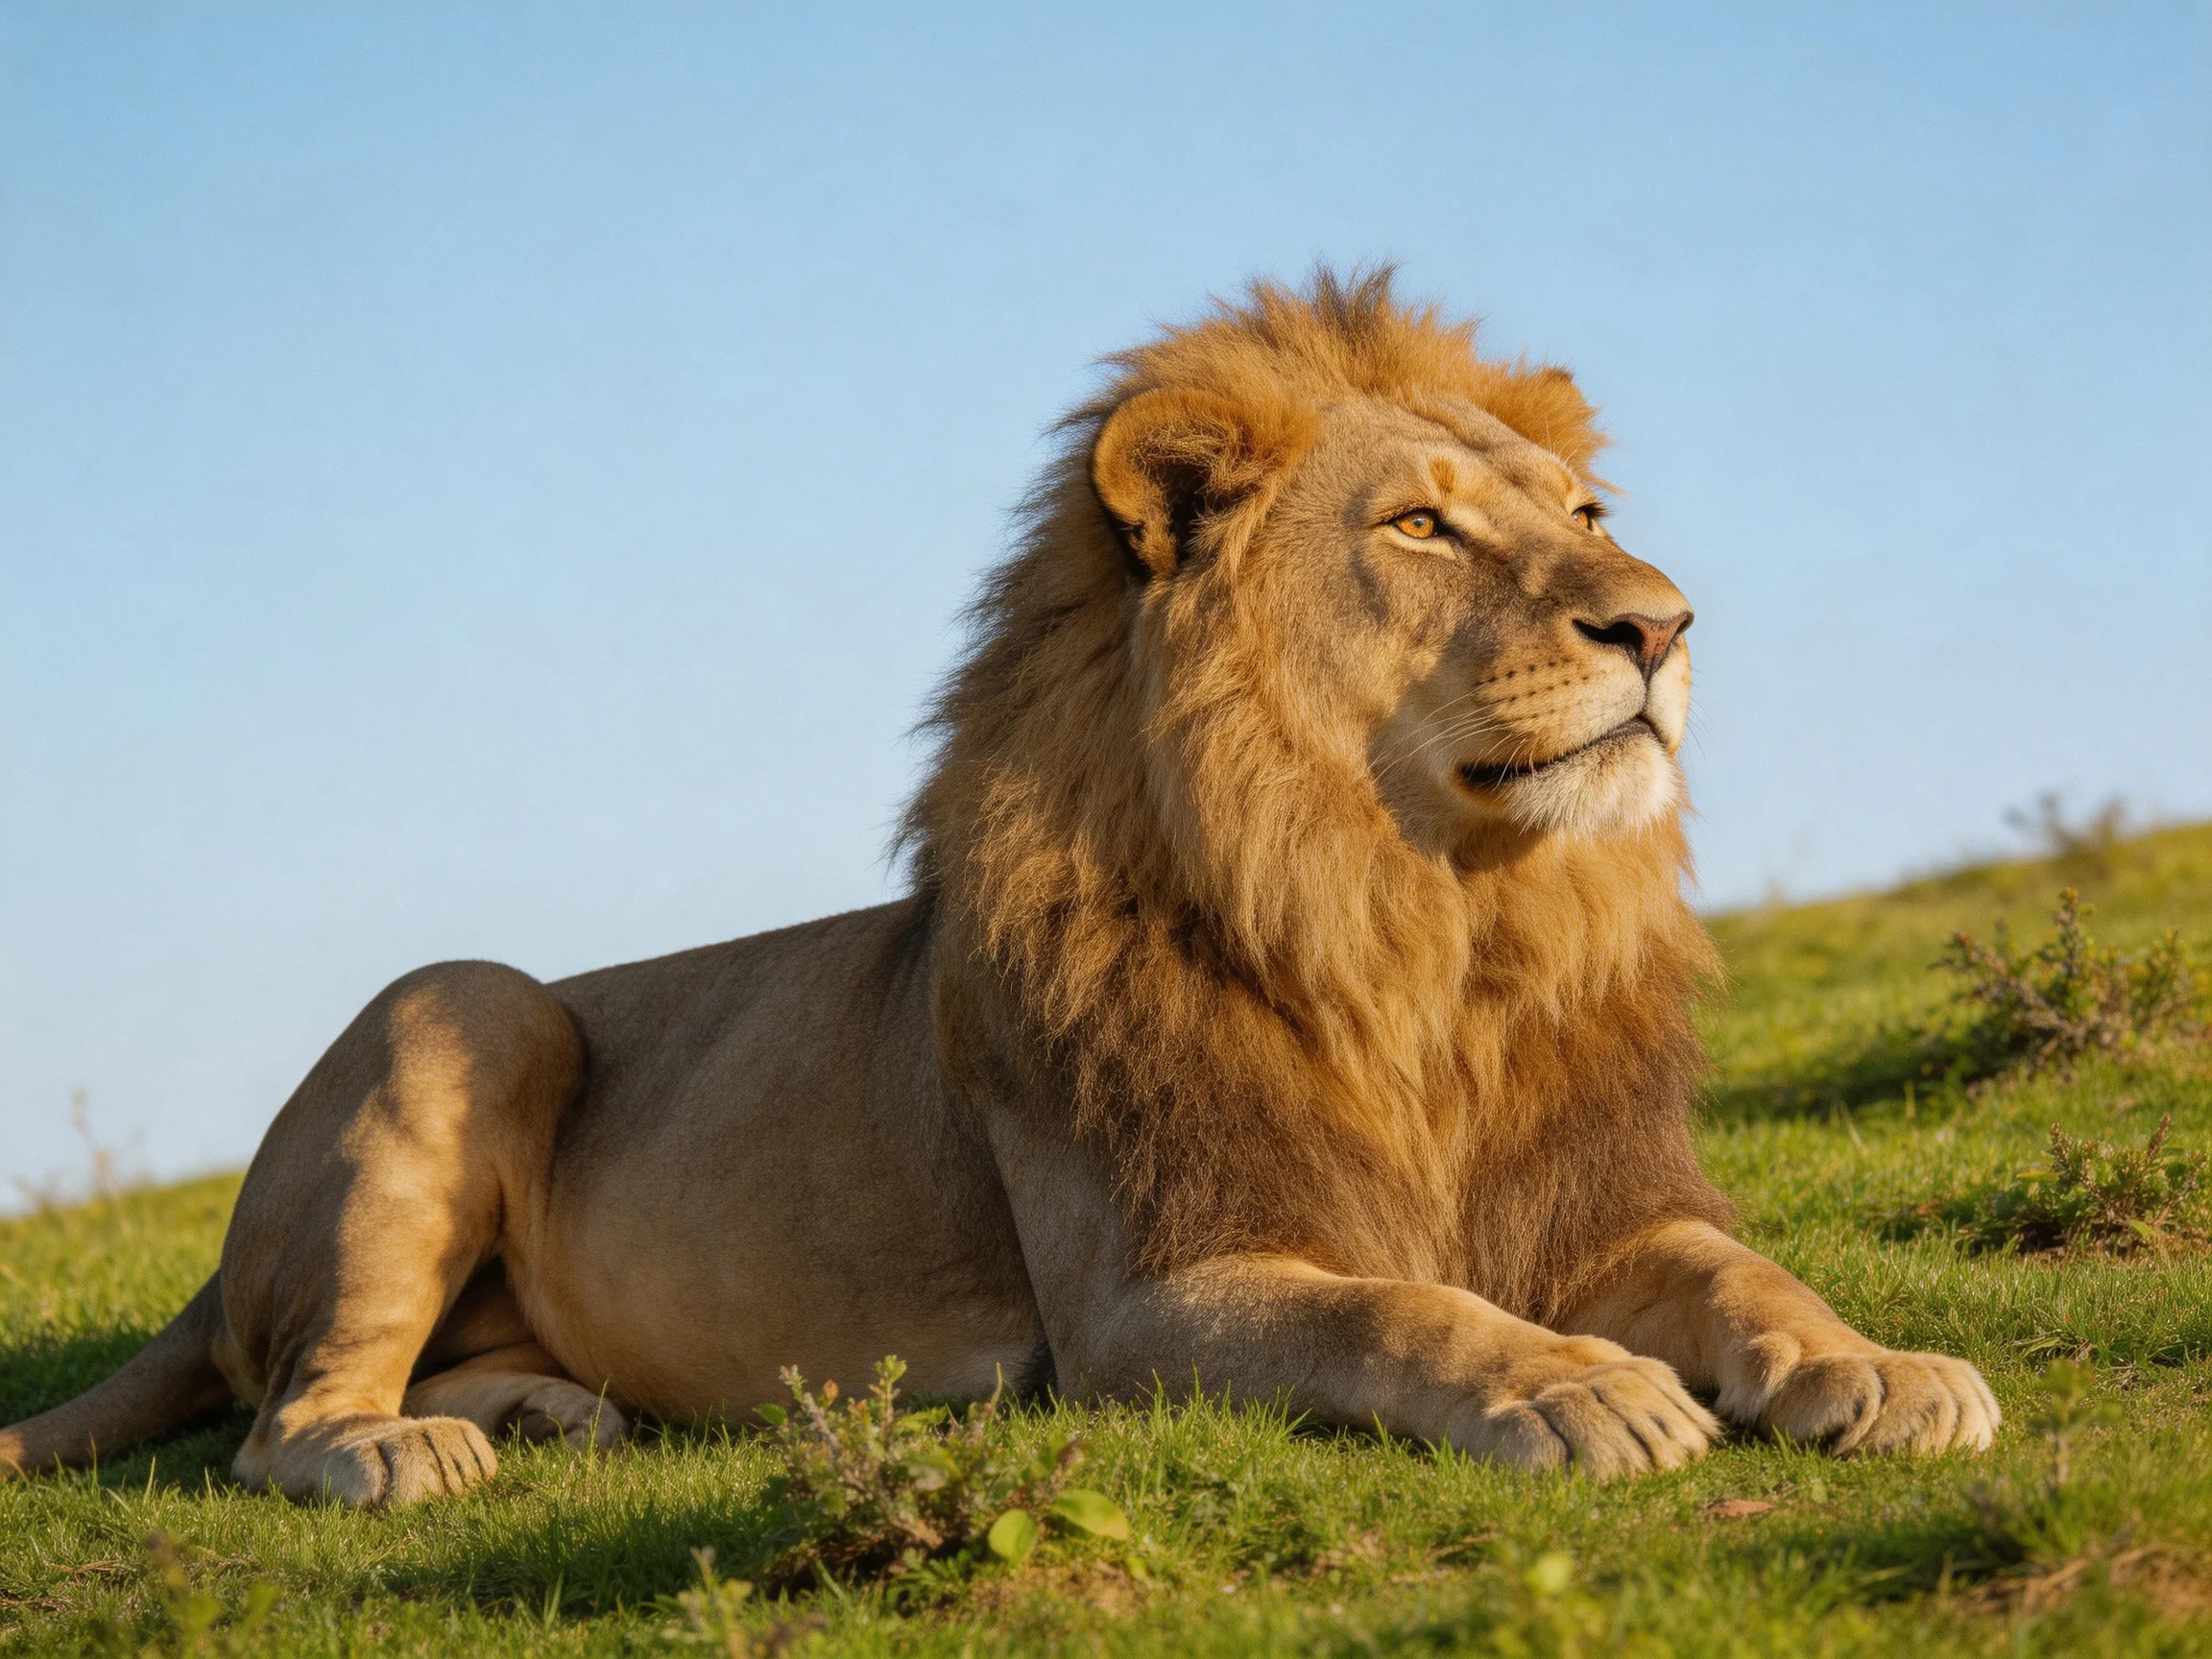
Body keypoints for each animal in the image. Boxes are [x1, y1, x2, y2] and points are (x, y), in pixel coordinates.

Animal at [2, 270, 1997, 1503]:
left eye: (1582, 519)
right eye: (1421, 525)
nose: (1660, 621)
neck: (1422, 926)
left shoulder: (1588, 1202)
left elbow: (1748, 1268)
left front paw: (1884, 1362)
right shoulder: (1143, 1297)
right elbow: (1395, 1309)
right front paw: (1571, 1384)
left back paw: (554, 1408)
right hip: (462, 996)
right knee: (277, 1414)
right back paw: (395, 1449)